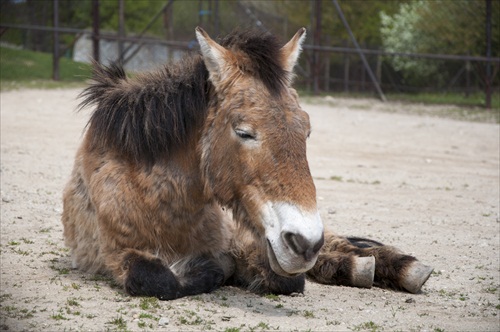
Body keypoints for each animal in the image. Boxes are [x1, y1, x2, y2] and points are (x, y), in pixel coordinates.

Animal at [62, 27, 432, 300]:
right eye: (244, 132)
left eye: (307, 130)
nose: (304, 243)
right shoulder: (116, 254)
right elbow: (159, 279)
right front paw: (207, 269)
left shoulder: (252, 241)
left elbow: (287, 279)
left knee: (334, 244)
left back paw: (396, 265)